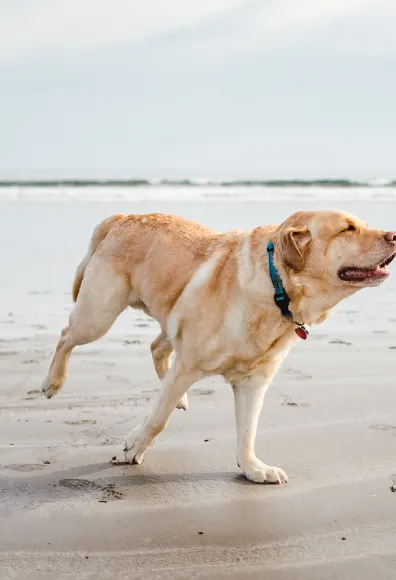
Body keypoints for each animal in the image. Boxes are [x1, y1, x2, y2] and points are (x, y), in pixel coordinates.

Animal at [41, 211, 394, 482]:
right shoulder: (188, 364)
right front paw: (135, 446)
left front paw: (253, 468)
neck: (276, 288)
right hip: (98, 314)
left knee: (157, 348)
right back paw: (52, 382)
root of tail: (122, 217)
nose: (393, 235)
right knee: (66, 335)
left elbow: (248, 432)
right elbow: (158, 418)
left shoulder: (254, 383)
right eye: (348, 229)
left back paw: (180, 398)